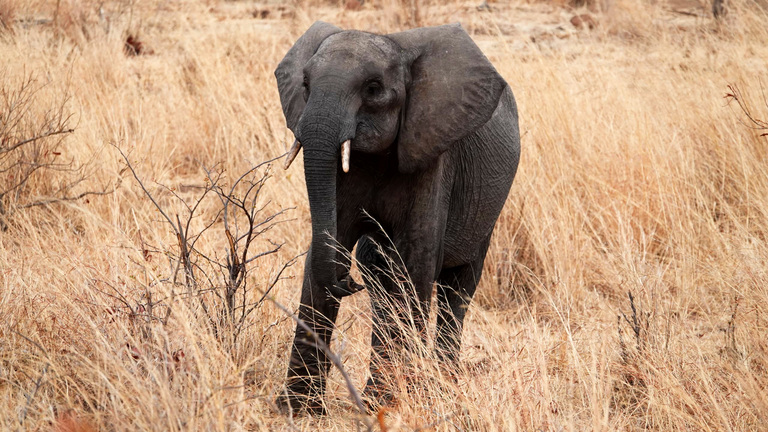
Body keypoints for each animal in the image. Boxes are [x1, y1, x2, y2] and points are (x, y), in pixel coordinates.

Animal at [275, 21, 520, 414]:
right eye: (306, 84)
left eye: (373, 89)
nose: (347, 283)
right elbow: (326, 251)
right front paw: (297, 410)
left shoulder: (432, 159)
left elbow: (415, 260)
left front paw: (396, 403)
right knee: (380, 282)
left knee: (457, 290)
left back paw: (437, 390)